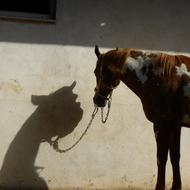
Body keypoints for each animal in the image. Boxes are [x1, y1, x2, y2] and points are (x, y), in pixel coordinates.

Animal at [93, 45, 190, 190]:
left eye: (99, 71)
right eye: (95, 72)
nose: (97, 100)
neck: (163, 77)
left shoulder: (161, 124)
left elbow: (161, 158)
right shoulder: (175, 124)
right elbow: (174, 156)